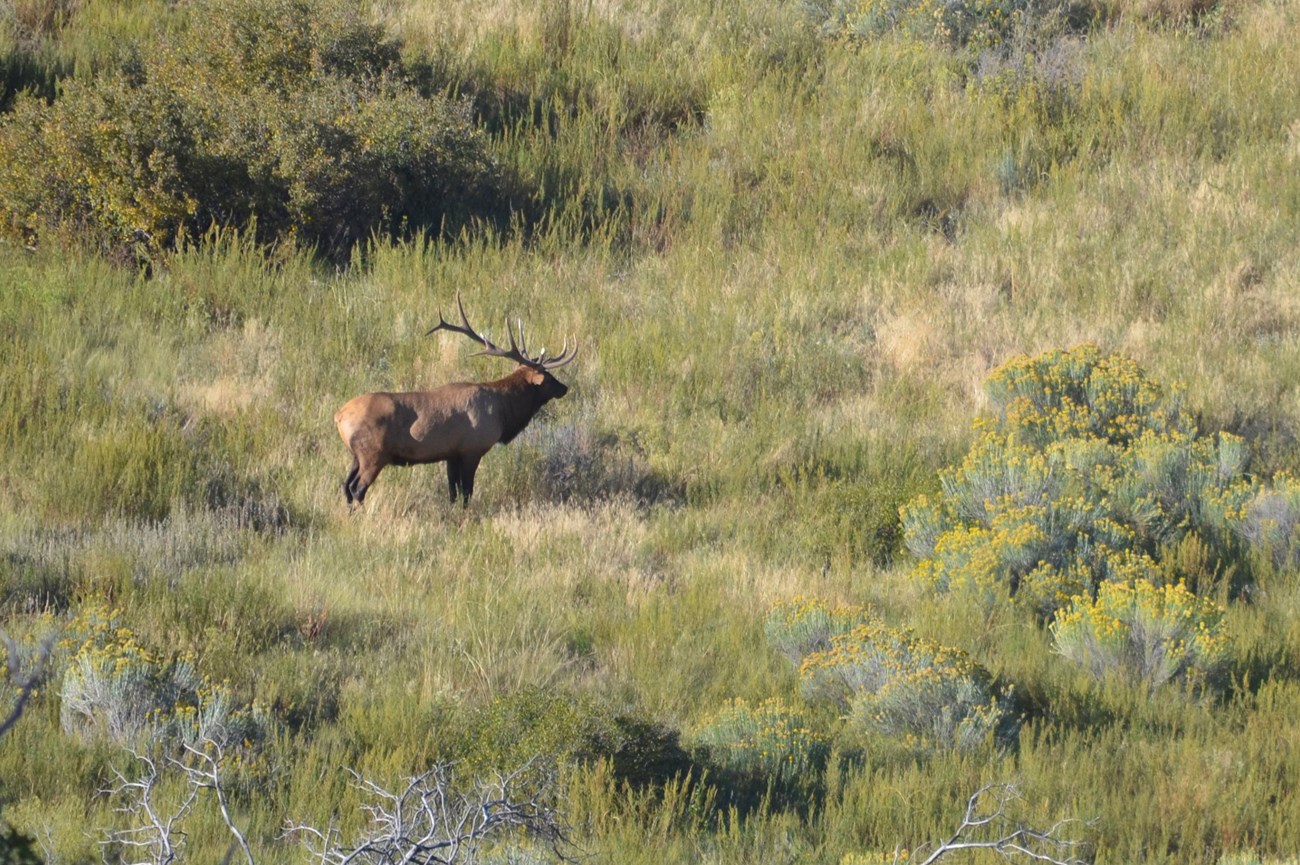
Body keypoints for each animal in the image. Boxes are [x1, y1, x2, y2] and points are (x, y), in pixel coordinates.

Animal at [334, 295, 578, 508]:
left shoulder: (451, 454)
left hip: (356, 455)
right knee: (357, 488)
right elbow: (467, 492)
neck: (503, 411)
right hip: (373, 453)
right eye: (548, 378)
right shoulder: (472, 448)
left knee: (346, 486)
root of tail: (339, 415)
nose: (564, 388)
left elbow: (452, 492)